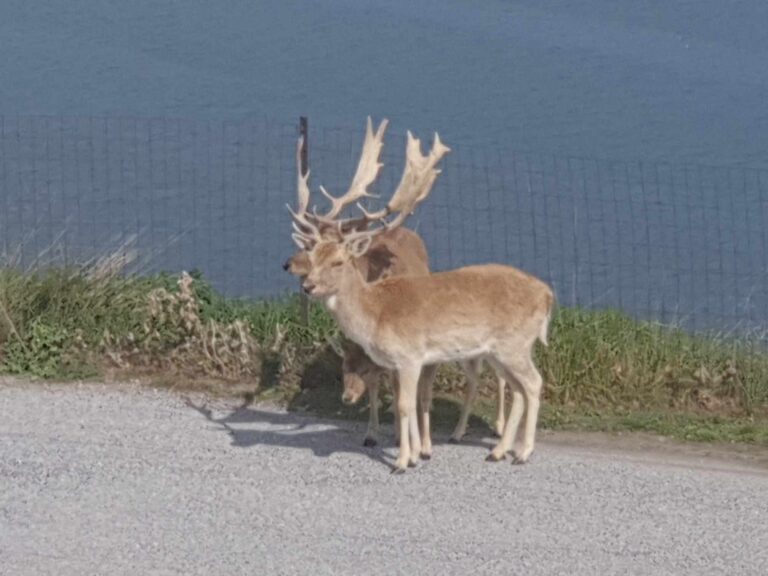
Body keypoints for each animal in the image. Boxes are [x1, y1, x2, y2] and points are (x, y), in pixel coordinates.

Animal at [290, 117, 552, 472]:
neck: (375, 314)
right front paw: (414, 454)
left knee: (534, 384)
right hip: (504, 350)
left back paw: (522, 453)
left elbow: (404, 405)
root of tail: (548, 295)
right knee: (520, 389)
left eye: (338, 261)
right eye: (313, 256)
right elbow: (406, 403)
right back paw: (498, 451)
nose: (308, 286)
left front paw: (403, 461)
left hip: (514, 344)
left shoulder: (410, 355)